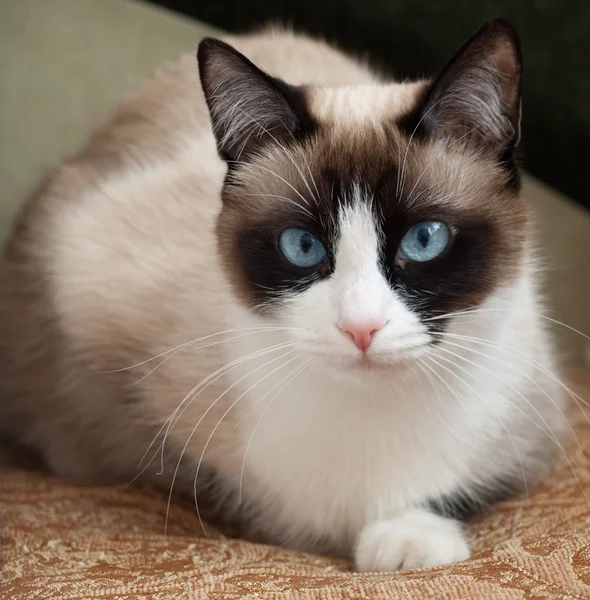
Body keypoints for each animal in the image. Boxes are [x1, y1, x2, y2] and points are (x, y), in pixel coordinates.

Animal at [0, 18, 568, 572]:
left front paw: (407, 540)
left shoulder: (536, 434)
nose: (361, 328)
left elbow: (467, 489)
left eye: (424, 240)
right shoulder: (81, 280)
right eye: (302, 246)